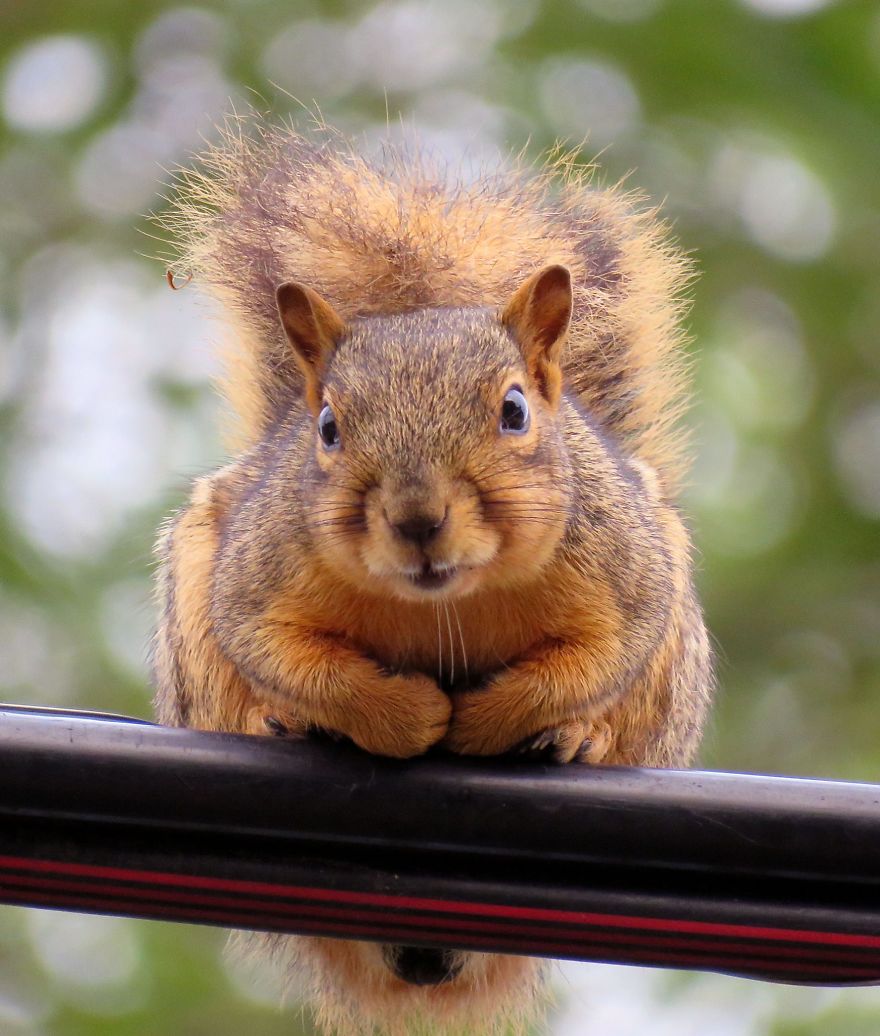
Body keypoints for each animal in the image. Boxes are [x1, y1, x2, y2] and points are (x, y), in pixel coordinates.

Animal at [151, 119, 713, 1036]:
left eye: (515, 411)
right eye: (328, 427)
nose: (417, 519)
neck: (445, 603)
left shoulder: (627, 576)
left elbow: (591, 660)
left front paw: (491, 721)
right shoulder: (255, 580)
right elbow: (291, 657)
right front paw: (405, 713)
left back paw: (582, 741)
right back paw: (279, 724)